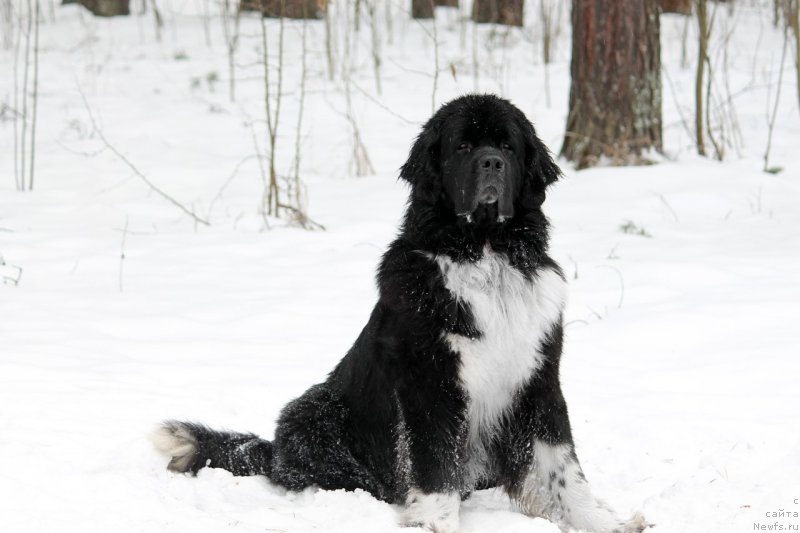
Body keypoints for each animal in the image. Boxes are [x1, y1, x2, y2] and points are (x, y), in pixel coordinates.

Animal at [152, 94, 648, 532]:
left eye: (508, 146)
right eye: (462, 146)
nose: (491, 163)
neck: (485, 251)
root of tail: (271, 448)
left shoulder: (538, 378)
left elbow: (561, 463)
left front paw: (603, 521)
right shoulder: (430, 383)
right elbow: (435, 464)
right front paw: (434, 523)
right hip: (310, 413)